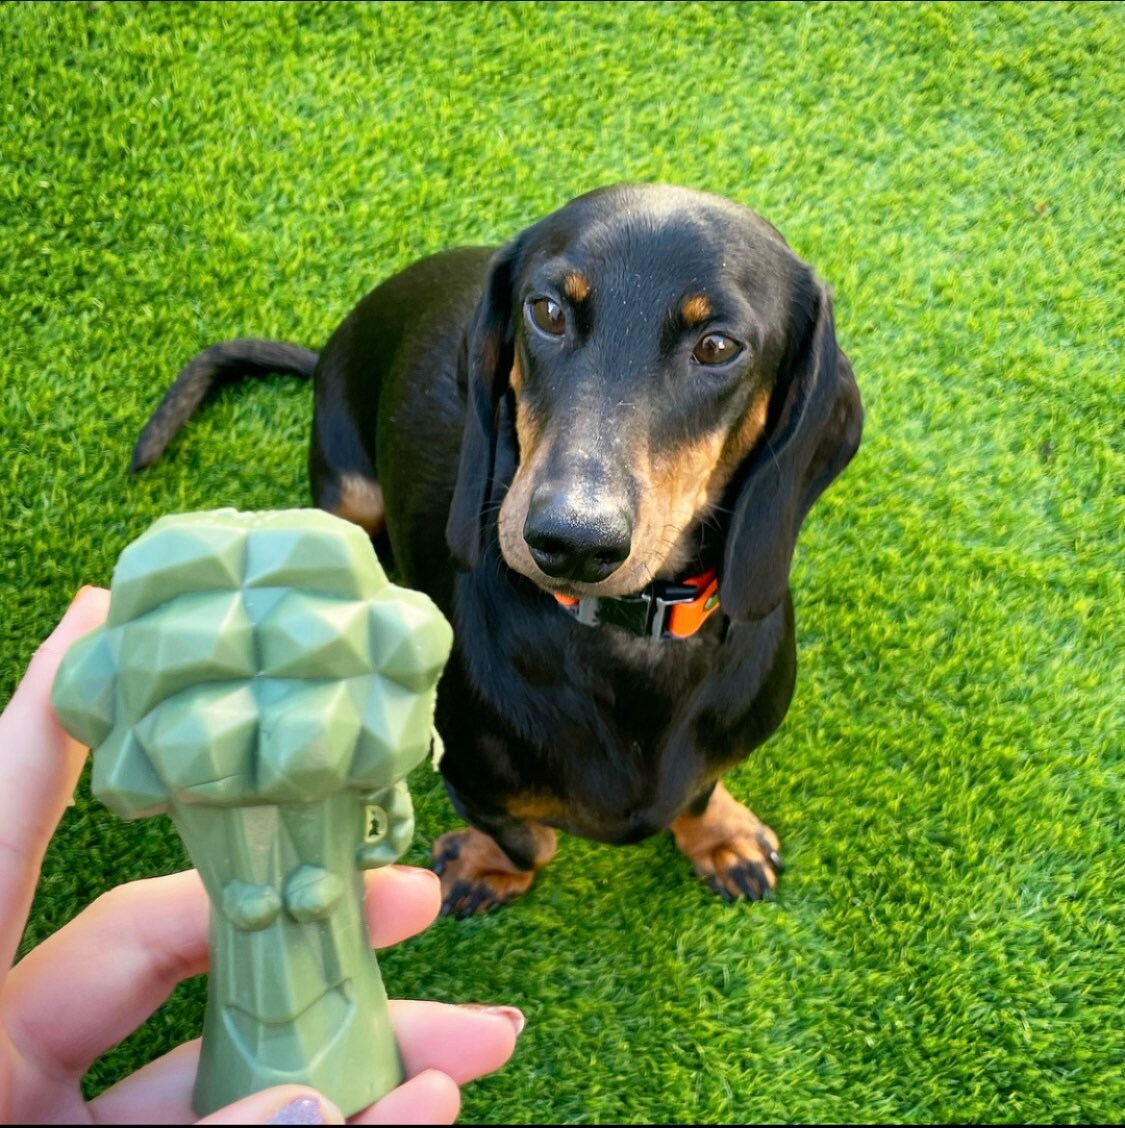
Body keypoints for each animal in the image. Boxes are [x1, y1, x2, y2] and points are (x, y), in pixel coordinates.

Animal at [135, 182, 866, 915]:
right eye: (546, 311)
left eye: (717, 346)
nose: (570, 541)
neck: (624, 637)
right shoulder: (467, 774)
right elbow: (529, 839)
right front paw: (483, 864)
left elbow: (699, 791)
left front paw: (721, 836)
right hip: (349, 496)